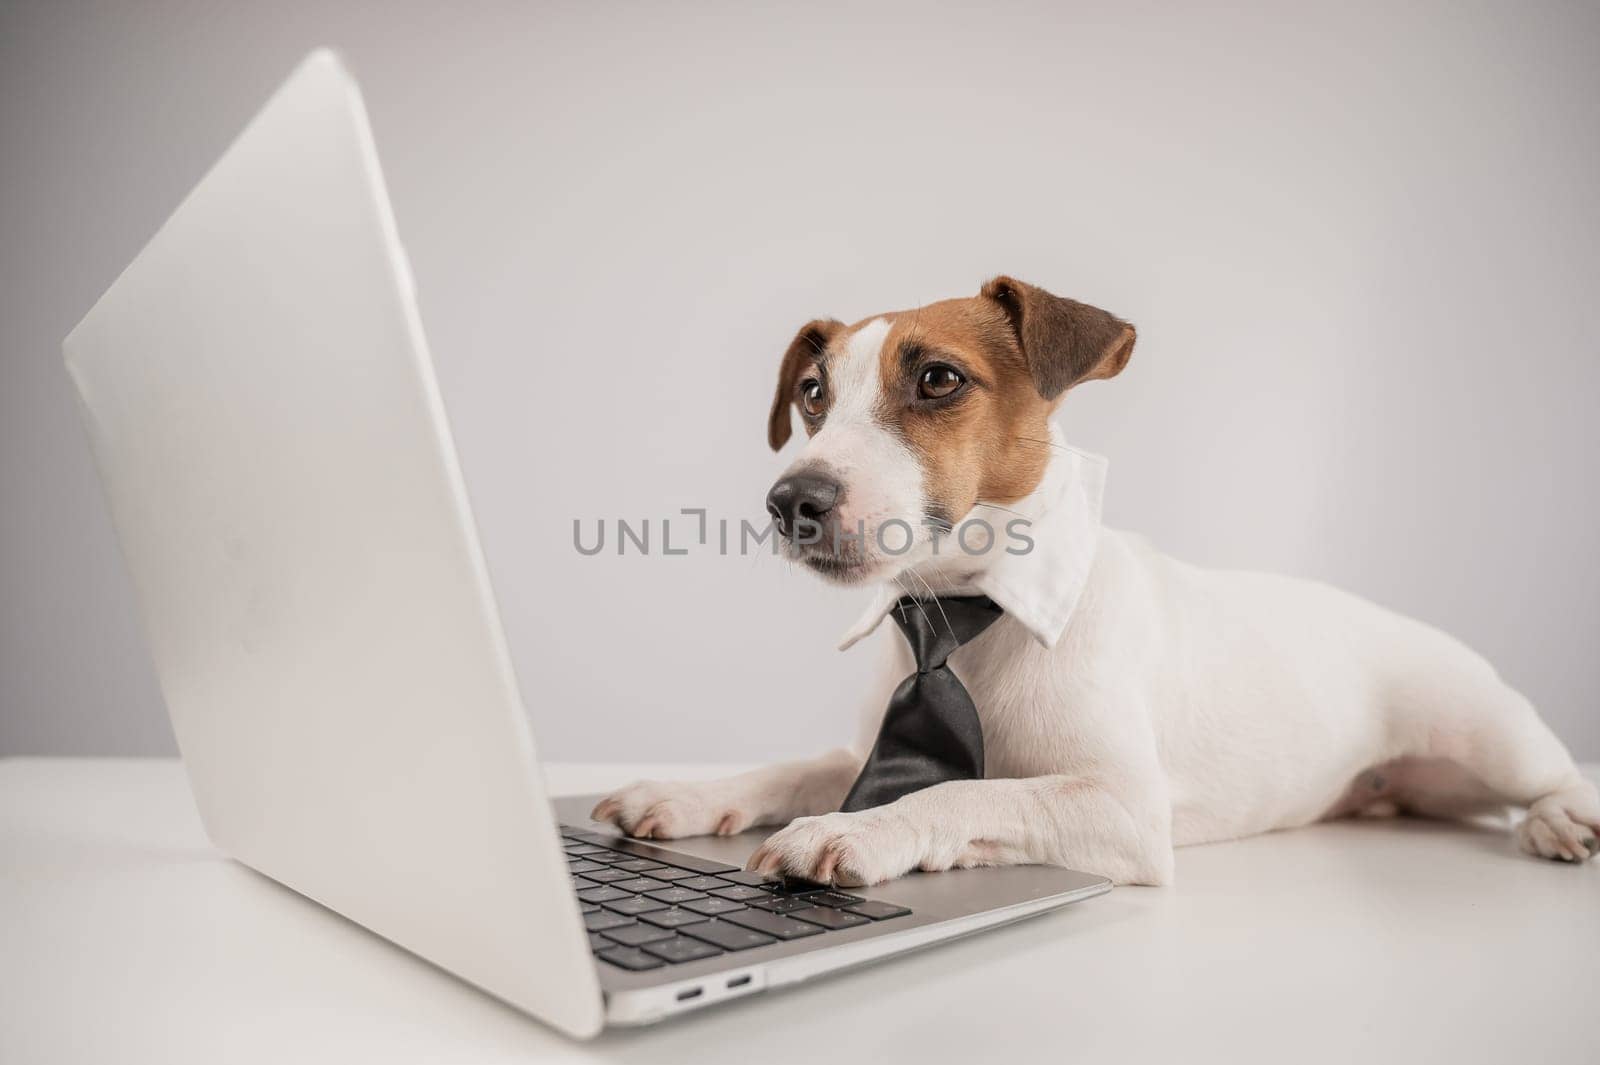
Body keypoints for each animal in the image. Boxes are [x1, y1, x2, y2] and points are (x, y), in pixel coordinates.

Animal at [592, 271, 1600, 876]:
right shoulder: (861, 751)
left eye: (939, 380)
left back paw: (1560, 820)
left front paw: (855, 828)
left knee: (1552, 776)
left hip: (1487, 732)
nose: (790, 499)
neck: (964, 609)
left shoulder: (1122, 805)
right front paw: (689, 792)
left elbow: (961, 788)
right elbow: (805, 765)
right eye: (812, 394)